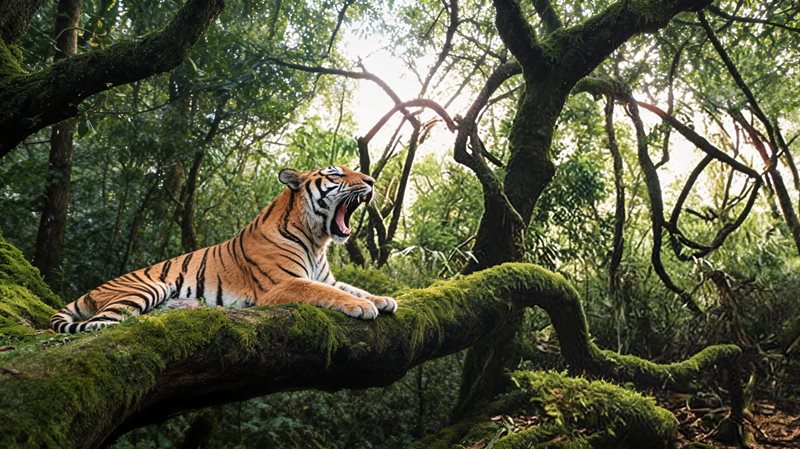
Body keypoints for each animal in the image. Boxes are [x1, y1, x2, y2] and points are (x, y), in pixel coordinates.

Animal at [50, 166, 397, 333]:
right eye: (336, 173)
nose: (371, 180)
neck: (317, 240)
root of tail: (91, 290)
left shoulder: (326, 277)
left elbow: (350, 287)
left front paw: (383, 299)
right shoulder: (283, 283)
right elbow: (327, 293)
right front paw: (363, 306)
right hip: (147, 288)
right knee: (101, 323)